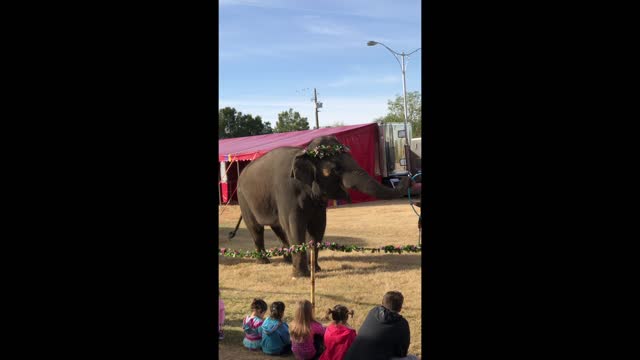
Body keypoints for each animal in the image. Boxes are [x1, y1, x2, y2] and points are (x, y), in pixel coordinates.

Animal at [232, 136, 408, 278]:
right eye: (336, 169)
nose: (406, 177)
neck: (306, 152)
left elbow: (318, 226)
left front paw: (316, 270)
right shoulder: (286, 191)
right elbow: (294, 225)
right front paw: (301, 276)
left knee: (278, 228)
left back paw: (287, 260)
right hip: (243, 199)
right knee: (257, 229)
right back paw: (264, 261)